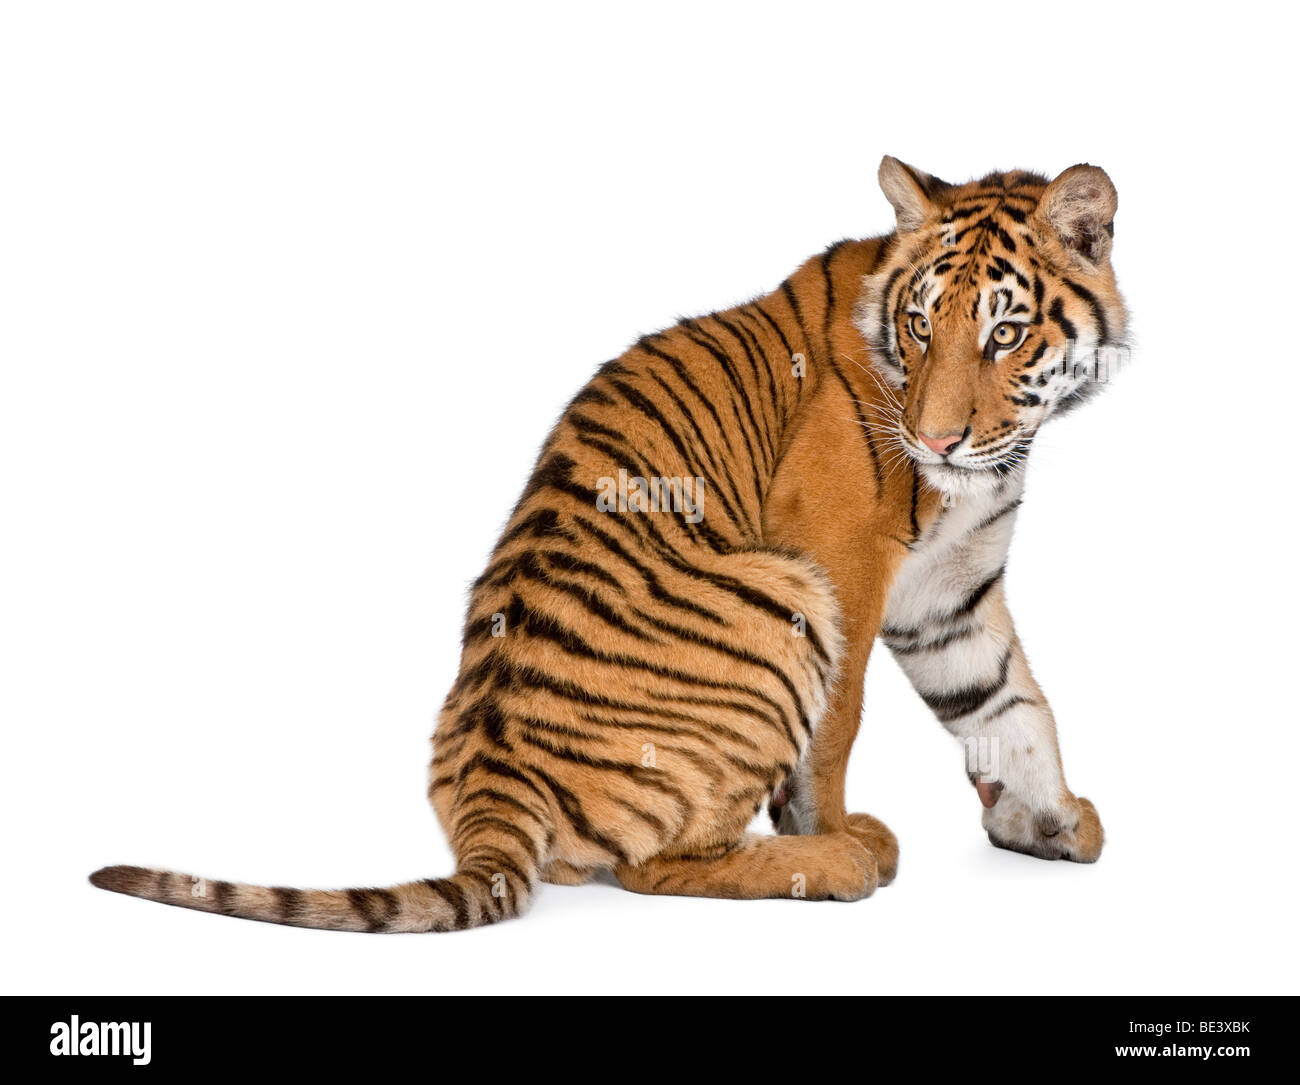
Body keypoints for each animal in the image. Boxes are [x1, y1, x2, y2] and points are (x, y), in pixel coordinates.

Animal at [91, 159, 1128, 935]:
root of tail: (488, 791)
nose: (938, 441)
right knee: (653, 867)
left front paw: (1051, 819)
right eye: (919, 327)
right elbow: (840, 727)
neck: (992, 461)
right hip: (778, 596)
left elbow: (1010, 700)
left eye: (1004, 334)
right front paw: (836, 823)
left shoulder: (950, 586)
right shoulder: (841, 555)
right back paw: (837, 857)